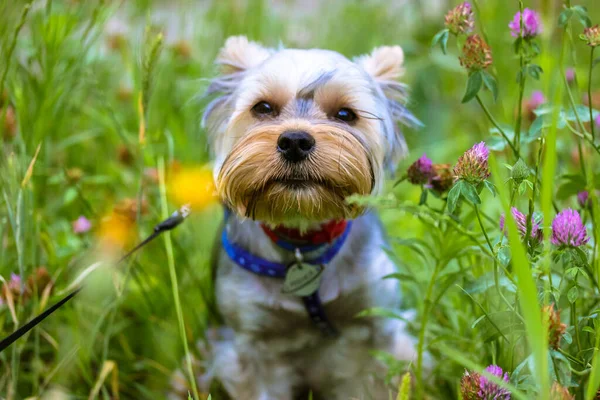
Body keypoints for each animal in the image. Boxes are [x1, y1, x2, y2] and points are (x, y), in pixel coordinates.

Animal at [199, 36, 420, 398]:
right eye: (263, 108)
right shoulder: (250, 344)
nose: (294, 140)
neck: (302, 234)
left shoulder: (377, 328)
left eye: (345, 114)